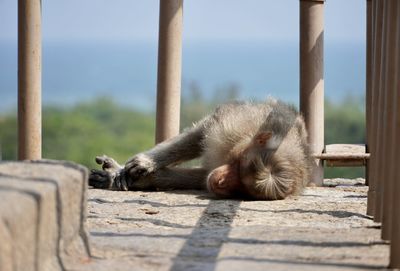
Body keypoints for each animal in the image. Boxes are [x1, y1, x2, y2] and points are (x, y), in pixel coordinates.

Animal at [89, 99, 314, 201]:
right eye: (238, 165)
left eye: (244, 189)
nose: (221, 182)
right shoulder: (236, 125)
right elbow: (200, 133)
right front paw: (145, 163)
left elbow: (201, 177)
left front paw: (142, 179)